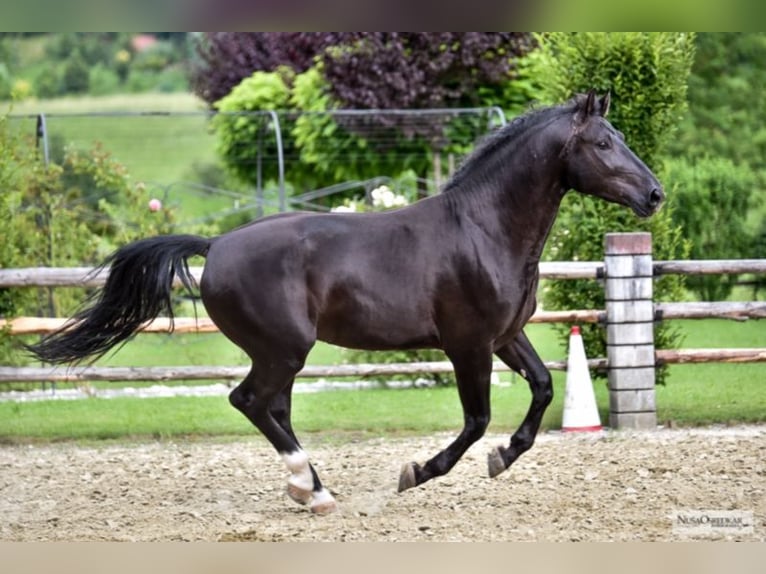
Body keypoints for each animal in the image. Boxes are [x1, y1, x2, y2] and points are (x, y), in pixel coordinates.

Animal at [28, 91, 664, 516]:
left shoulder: (506, 336)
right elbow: (476, 420)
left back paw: (310, 488)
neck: (484, 229)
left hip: (280, 353)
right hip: (285, 348)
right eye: (603, 143)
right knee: (251, 401)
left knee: (272, 408)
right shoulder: (468, 345)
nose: (655, 195)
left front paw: (503, 457)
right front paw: (416, 473)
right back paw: (315, 492)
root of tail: (216, 245)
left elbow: (543, 389)